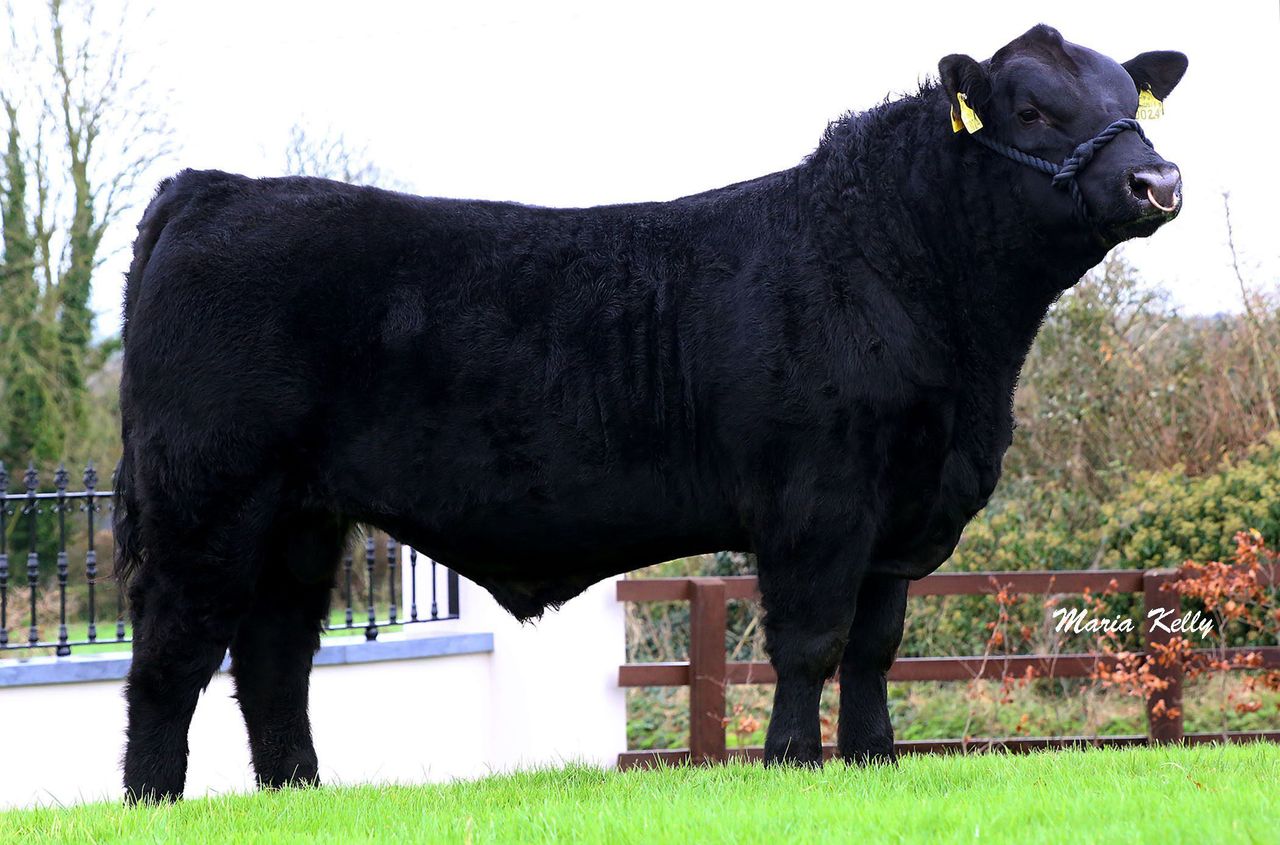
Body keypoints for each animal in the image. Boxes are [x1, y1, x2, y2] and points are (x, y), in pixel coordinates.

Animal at [114, 24, 1187, 801]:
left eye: (1129, 102)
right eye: (1034, 107)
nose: (1157, 180)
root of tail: (213, 189)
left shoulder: (901, 514)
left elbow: (875, 646)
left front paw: (874, 762)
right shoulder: (819, 503)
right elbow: (811, 640)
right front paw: (792, 765)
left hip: (301, 517)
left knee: (273, 653)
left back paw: (297, 792)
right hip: (207, 500)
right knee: (173, 651)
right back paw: (155, 800)